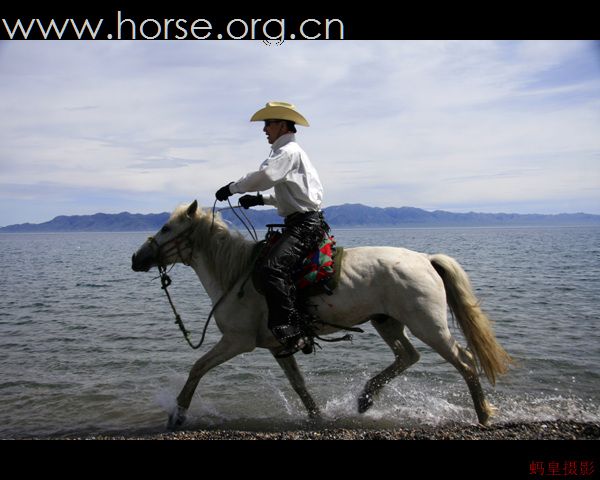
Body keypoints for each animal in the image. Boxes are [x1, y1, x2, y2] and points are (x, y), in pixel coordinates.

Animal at [131, 201, 510, 430]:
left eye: (167, 228)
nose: (137, 258)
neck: (236, 274)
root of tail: (426, 259)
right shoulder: (276, 345)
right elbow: (298, 385)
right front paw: (317, 417)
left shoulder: (237, 341)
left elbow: (198, 368)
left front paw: (177, 414)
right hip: (387, 321)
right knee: (407, 355)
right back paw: (365, 399)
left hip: (428, 325)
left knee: (464, 361)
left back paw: (483, 415)